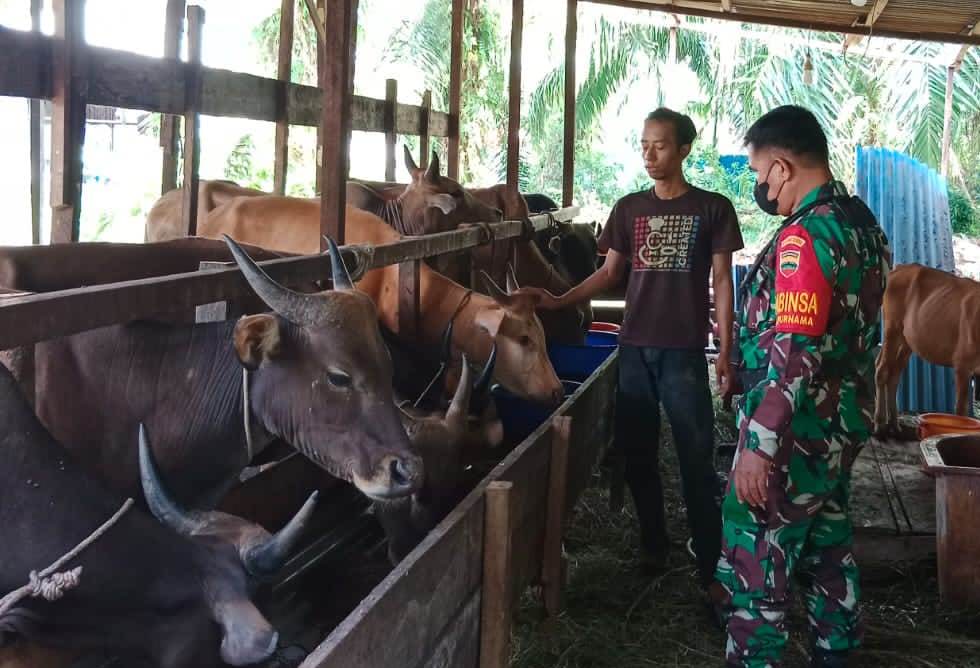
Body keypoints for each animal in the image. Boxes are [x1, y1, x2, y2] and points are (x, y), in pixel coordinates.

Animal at [876, 264, 980, 430]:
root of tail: (898, 268)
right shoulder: (962, 364)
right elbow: (960, 411)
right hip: (892, 327)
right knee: (882, 369)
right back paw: (880, 423)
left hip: (906, 341)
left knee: (893, 374)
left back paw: (894, 423)